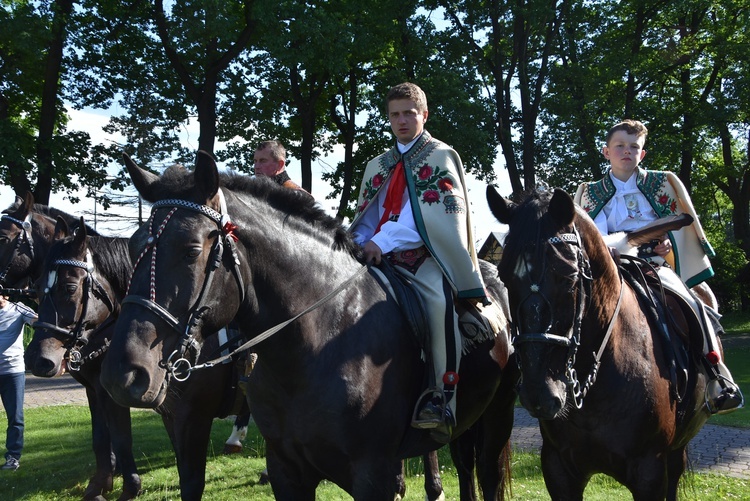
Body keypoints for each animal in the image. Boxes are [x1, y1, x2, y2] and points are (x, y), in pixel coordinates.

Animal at [25, 217, 247, 498]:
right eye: (37, 287)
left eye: (70, 287)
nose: (37, 359)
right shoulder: (108, 393)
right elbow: (103, 436)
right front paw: (102, 484)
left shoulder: (187, 413)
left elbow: (122, 439)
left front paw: (128, 487)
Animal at [101, 152, 516, 500]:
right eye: (134, 247)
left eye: (191, 249)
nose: (123, 374)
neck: (321, 342)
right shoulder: (286, 471)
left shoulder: (373, 475)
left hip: (496, 417)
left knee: (486, 474)